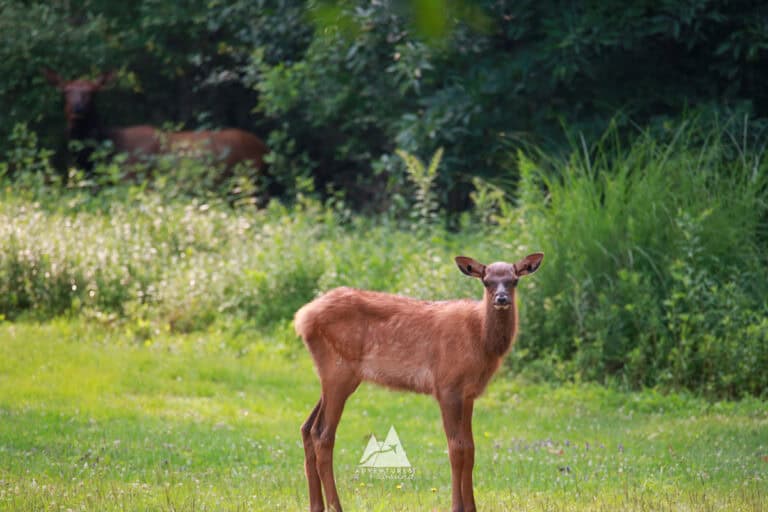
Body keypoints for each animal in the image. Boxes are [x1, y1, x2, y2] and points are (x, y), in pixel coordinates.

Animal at [294, 252, 544, 512]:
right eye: (486, 281)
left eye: (514, 280)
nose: (501, 298)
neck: (481, 340)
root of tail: (302, 317)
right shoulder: (446, 386)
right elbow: (456, 449)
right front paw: (457, 506)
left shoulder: (468, 393)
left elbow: (471, 448)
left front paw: (472, 507)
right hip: (339, 371)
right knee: (323, 435)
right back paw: (336, 506)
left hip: (336, 376)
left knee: (307, 427)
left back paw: (316, 505)